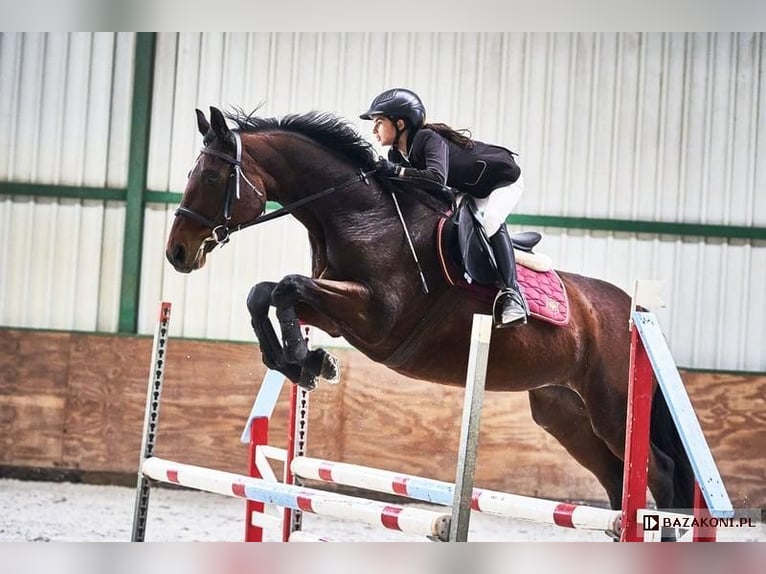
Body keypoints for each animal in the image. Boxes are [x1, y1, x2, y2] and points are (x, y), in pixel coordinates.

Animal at [165, 106, 694, 526]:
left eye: (210, 177)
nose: (177, 253)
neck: (359, 215)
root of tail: (634, 311)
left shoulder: (376, 317)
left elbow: (288, 287)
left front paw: (305, 359)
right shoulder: (340, 314)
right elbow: (265, 294)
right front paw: (305, 362)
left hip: (613, 405)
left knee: (662, 474)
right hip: (565, 413)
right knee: (616, 476)